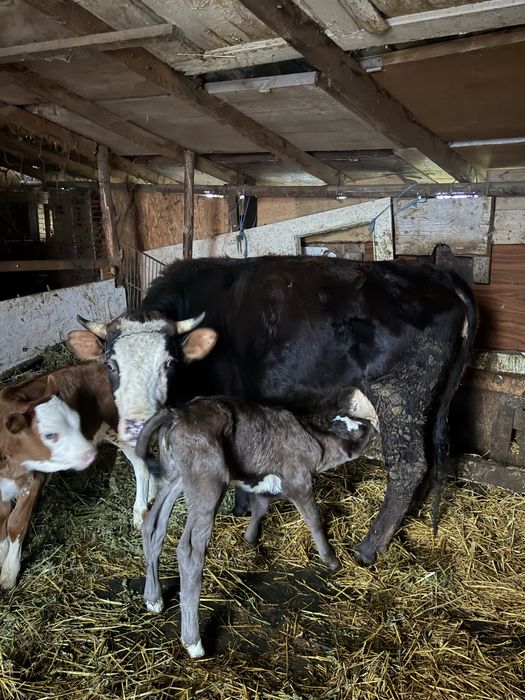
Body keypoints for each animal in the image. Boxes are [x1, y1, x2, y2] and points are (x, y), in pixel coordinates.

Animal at [0, 362, 153, 588]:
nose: (90, 452)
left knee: (141, 464)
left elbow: (15, 523)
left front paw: (9, 572)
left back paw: (140, 511)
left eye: (75, 421)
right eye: (49, 435)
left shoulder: (35, 478)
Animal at [67, 255, 477, 566]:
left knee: (409, 465)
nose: (136, 425)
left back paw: (370, 546)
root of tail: (433, 272)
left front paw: (239, 508)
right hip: (423, 401)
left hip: (400, 393)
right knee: (427, 460)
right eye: (110, 364)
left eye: (169, 362)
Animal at [136, 397, 376, 658]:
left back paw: (153, 599)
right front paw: (330, 559)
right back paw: (193, 642)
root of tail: (178, 413)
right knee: (189, 551)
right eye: (360, 428)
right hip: (209, 482)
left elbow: (260, 507)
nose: (372, 426)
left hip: (175, 476)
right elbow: (313, 519)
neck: (314, 441)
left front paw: (250, 538)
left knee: (153, 525)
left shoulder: (262, 483)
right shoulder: (299, 481)